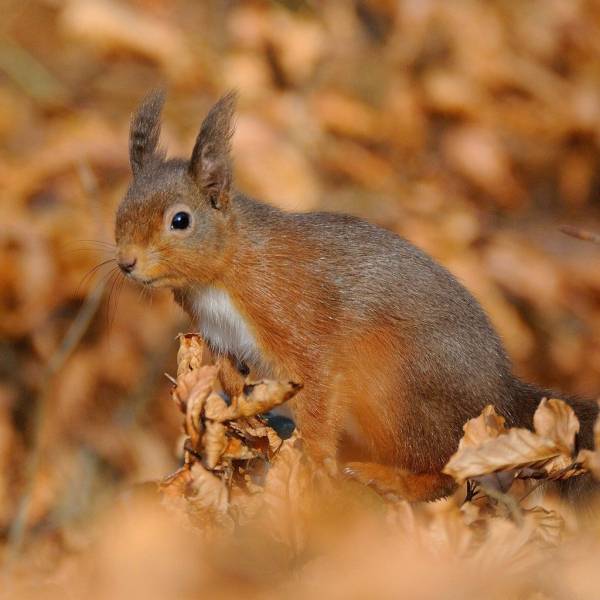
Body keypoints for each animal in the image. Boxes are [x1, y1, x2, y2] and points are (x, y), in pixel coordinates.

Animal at [115, 89, 596, 502]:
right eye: (121, 209)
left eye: (180, 220)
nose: (126, 262)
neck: (221, 274)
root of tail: (499, 394)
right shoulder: (220, 337)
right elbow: (233, 383)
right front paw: (242, 424)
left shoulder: (293, 313)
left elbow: (316, 386)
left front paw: (316, 460)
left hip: (393, 390)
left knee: (446, 471)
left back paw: (393, 479)